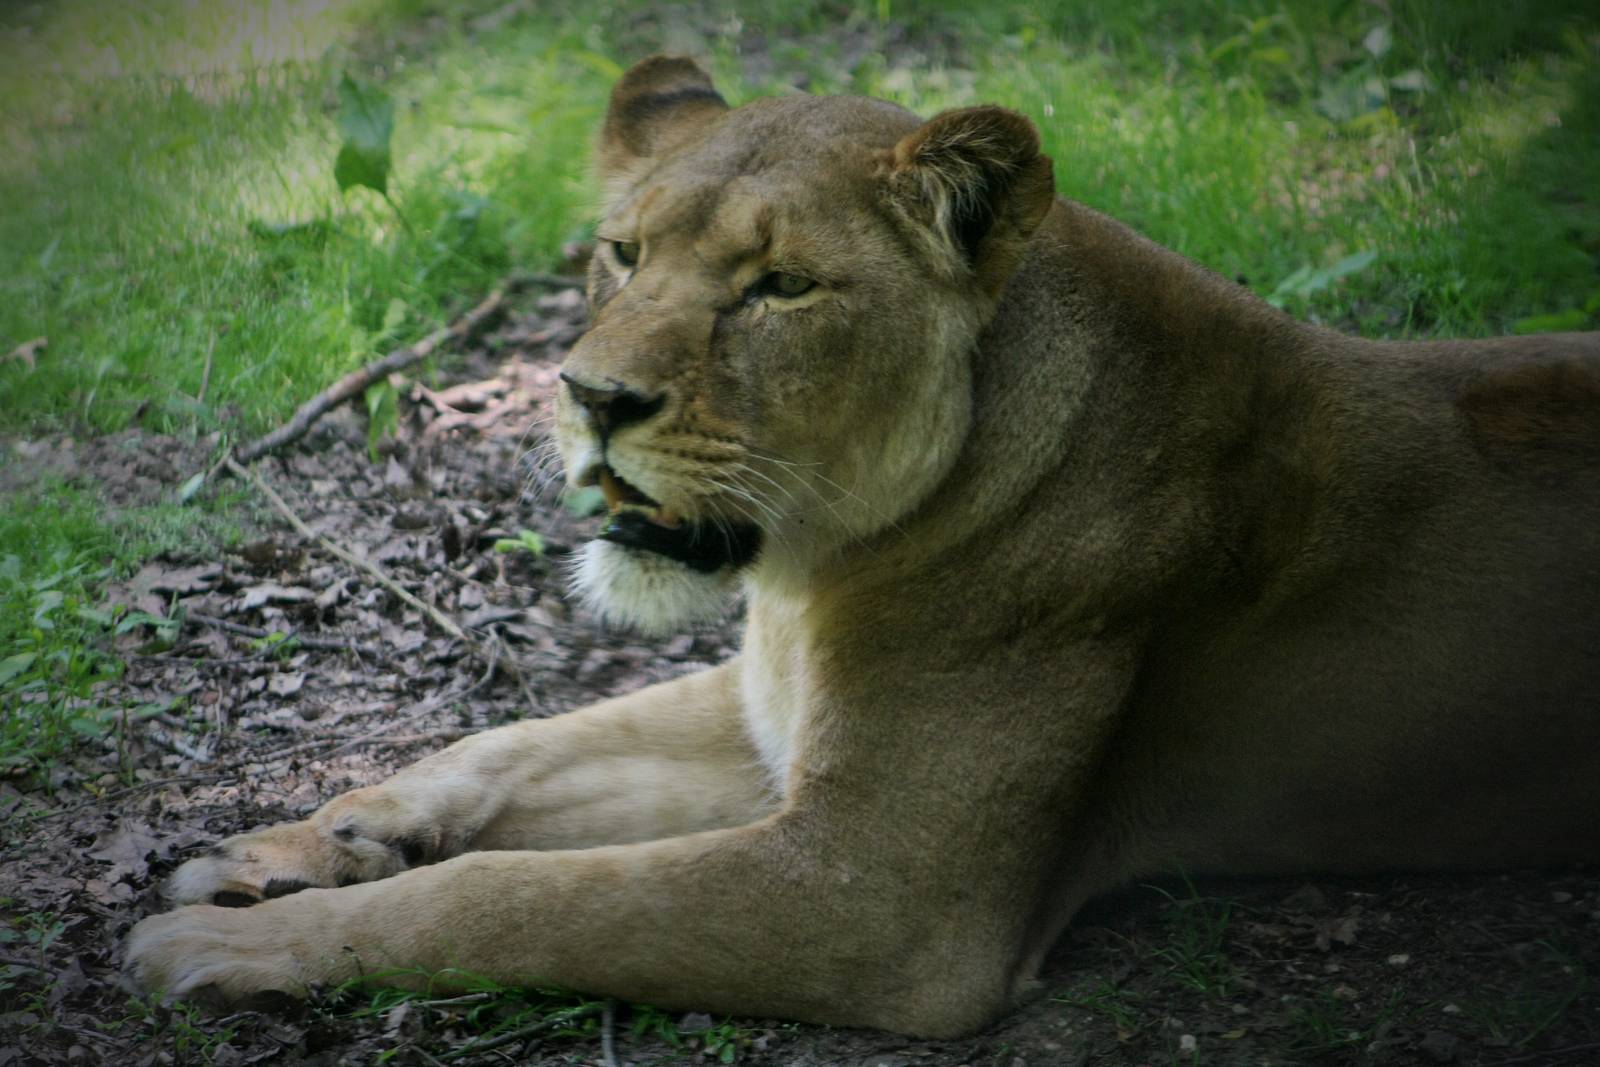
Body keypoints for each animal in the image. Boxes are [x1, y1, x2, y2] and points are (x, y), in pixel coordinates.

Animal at [126, 56, 1600, 1037]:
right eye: (622, 253)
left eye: (779, 287)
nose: (590, 398)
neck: (811, 570)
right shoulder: (772, 722)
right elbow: (510, 747)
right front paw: (298, 840)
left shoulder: (880, 890)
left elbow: (514, 899)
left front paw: (224, 936)